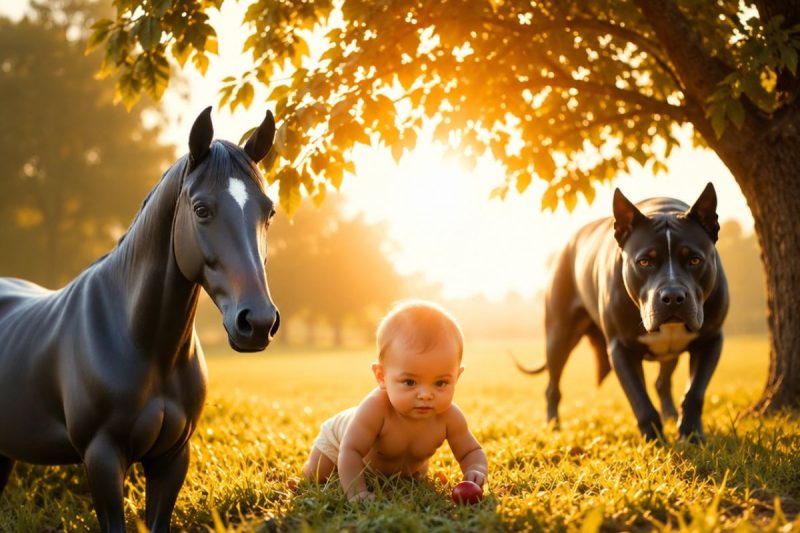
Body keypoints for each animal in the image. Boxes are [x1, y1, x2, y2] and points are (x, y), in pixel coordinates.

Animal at [0, 107, 280, 532]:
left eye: (269, 210)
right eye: (201, 209)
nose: (258, 322)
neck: (141, 342)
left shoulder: (172, 457)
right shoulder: (102, 457)